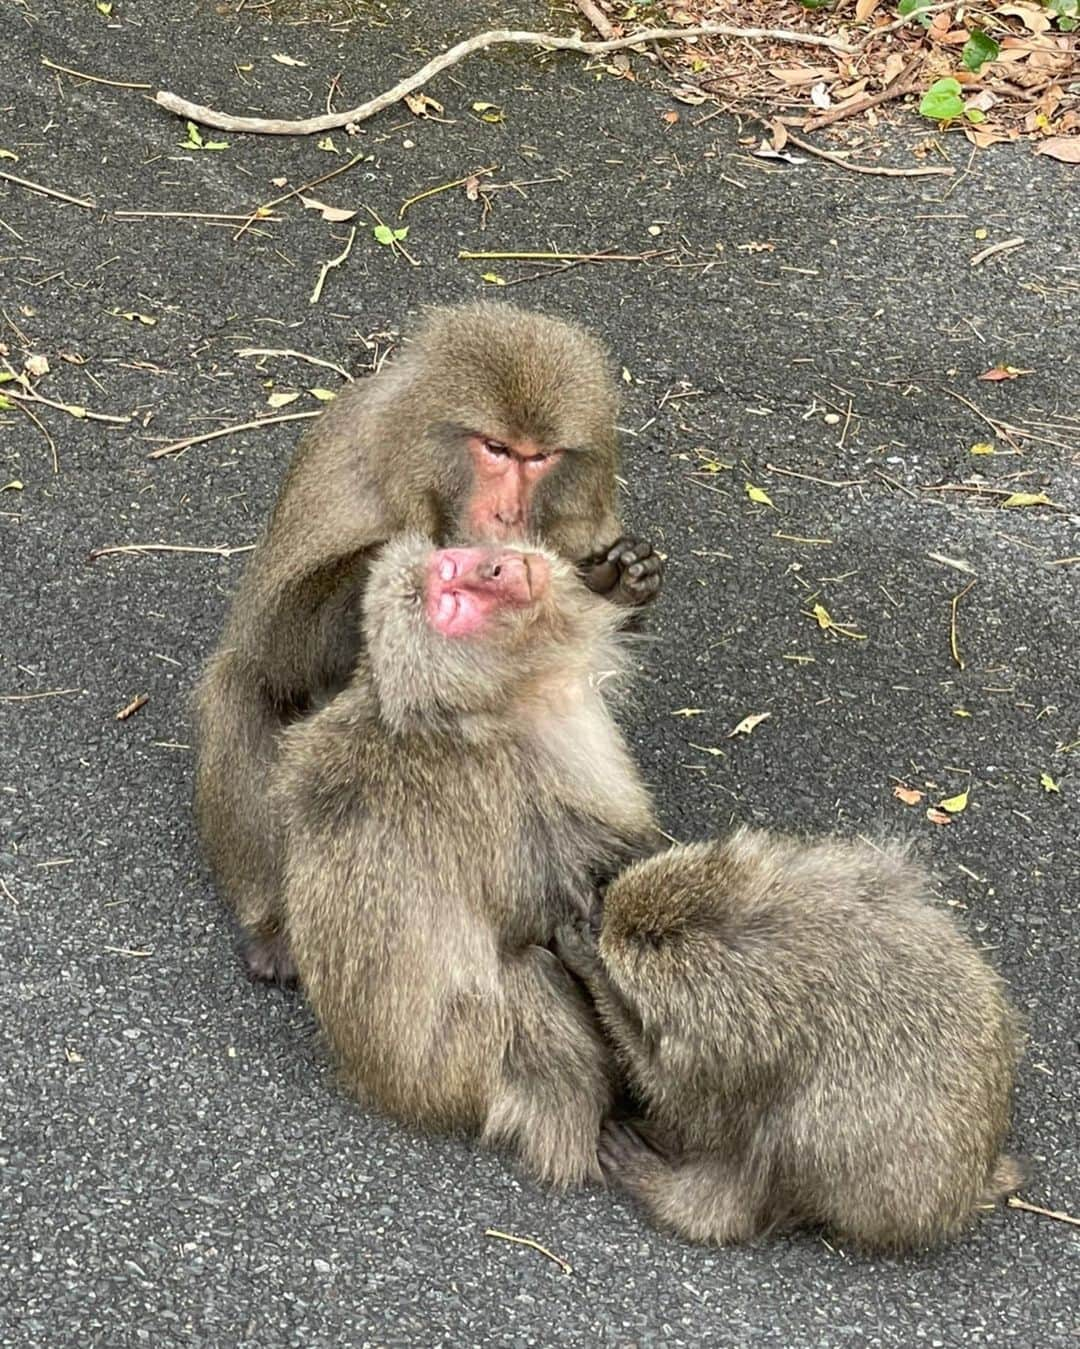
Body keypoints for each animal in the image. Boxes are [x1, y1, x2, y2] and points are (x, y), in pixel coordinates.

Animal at [269, 531, 657, 1187]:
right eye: (453, 604)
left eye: (453, 567)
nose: (496, 566)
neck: (494, 705)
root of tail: (381, 1085)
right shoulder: (504, 787)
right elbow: (540, 913)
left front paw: (619, 580)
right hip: (465, 1071)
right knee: (527, 975)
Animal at [555, 830, 1019, 1251]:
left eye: (645, 940)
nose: (602, 917)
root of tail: (967, 1189)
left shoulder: (731, 1040)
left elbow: (683, 1096)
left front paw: (592, 966)